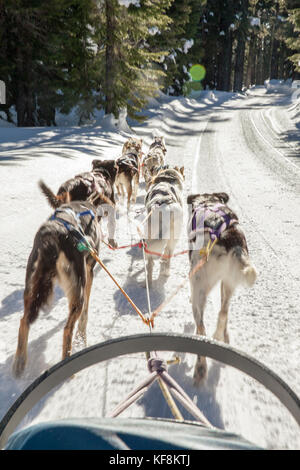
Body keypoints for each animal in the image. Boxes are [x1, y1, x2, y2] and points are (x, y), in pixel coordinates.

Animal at [188, 192, 255, 386]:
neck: (208, 201)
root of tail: (227, 236)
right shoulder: (226, 282)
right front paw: (225, 336)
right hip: (229, 283)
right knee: (223, 312)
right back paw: (219, 336)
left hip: (199, 291)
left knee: (201, 328)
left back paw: (200, 368)